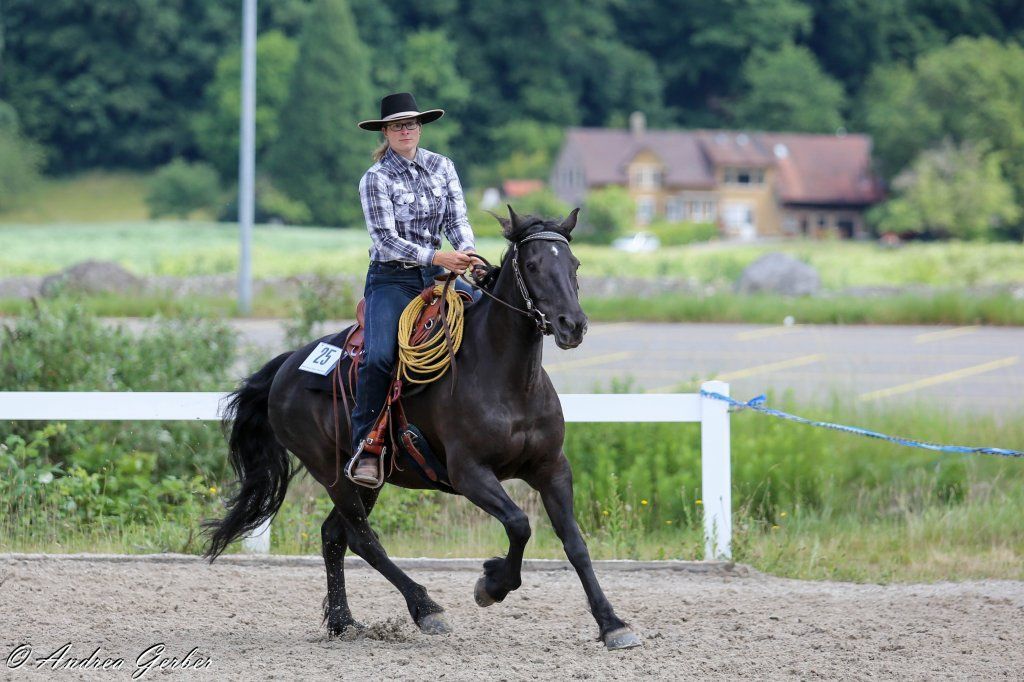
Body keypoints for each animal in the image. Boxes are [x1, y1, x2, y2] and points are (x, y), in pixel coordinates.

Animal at [204, 206, 641, 650]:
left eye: (574, 264)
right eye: (533, 265)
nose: (573, 325)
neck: (507, 380)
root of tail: (289, 365)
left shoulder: (552, 468)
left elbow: (575, 543)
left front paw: (612, 624)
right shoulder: (470, 473)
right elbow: (519, 524)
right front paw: (491, 584)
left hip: (369, 479)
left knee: (334, 535)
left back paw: (345, 622)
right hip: (330, 470)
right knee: (362, 539)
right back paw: (425, 608)